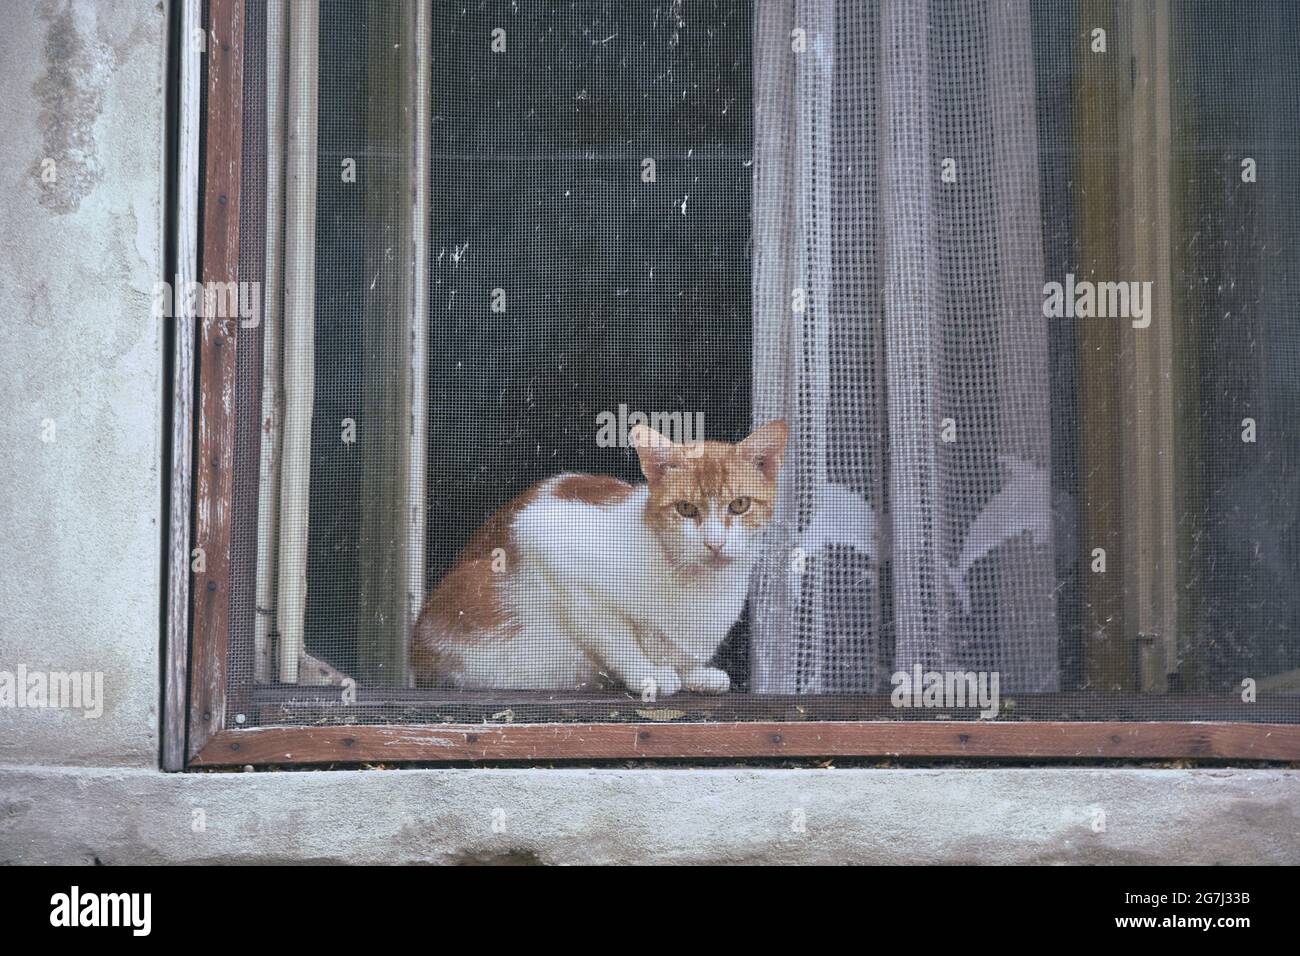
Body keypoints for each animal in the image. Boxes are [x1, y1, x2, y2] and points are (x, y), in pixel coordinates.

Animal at [410, 421, 785, 697]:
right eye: (686, 509)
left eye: (739, 505)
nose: (714, 543)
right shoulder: (546, 540)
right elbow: (618, 637)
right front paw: (648, 674)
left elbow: (680, 652)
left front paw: (694, 674)